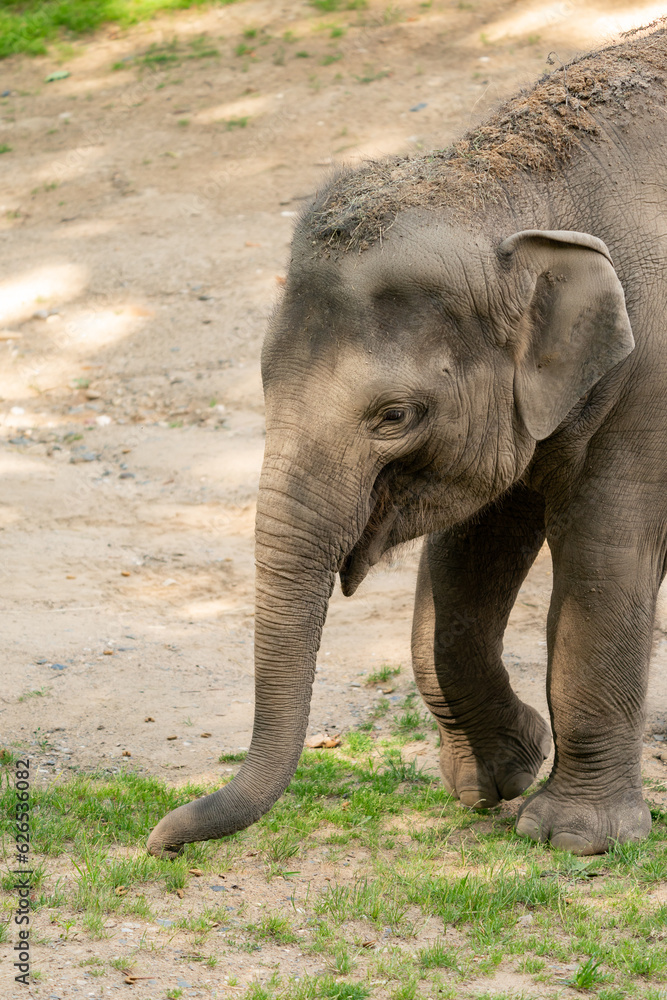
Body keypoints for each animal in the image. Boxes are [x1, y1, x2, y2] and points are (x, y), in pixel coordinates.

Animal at [148, 25, 667, 857]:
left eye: (393, 415)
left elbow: (604, 557)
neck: (516, 185)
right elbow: (467, 557)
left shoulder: (649, 380)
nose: (161, 838)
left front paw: (570, 837)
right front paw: (495, 778)